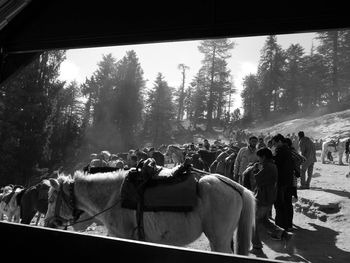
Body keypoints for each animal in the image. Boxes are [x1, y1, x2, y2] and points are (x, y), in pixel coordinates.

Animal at [45, 164, 256, 256]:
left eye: (51, 199)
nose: (48, 223)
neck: (114, 195)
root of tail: (237, 186)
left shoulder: (121, 235)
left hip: (219, 240)